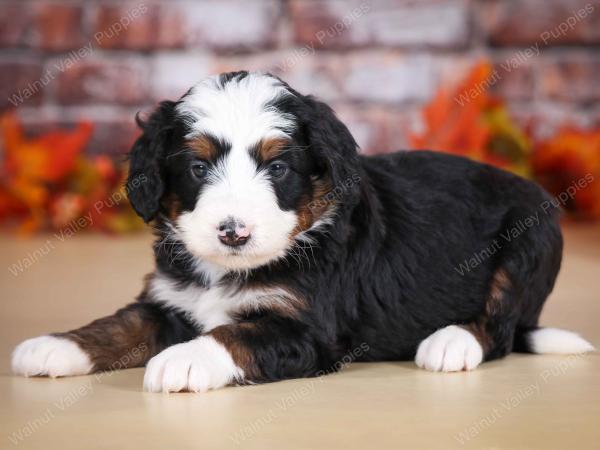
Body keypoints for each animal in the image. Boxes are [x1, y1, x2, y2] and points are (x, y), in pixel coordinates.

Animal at [11, 72, 592, 392]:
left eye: (278, 168)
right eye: (198, 168)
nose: (233, 232)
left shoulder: (308, 329)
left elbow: (236, 334)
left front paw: (183, 359)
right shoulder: (169, 298)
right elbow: (122, 324)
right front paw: (55, 346)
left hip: (529, 244)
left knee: (500, 326)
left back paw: (452, 342)